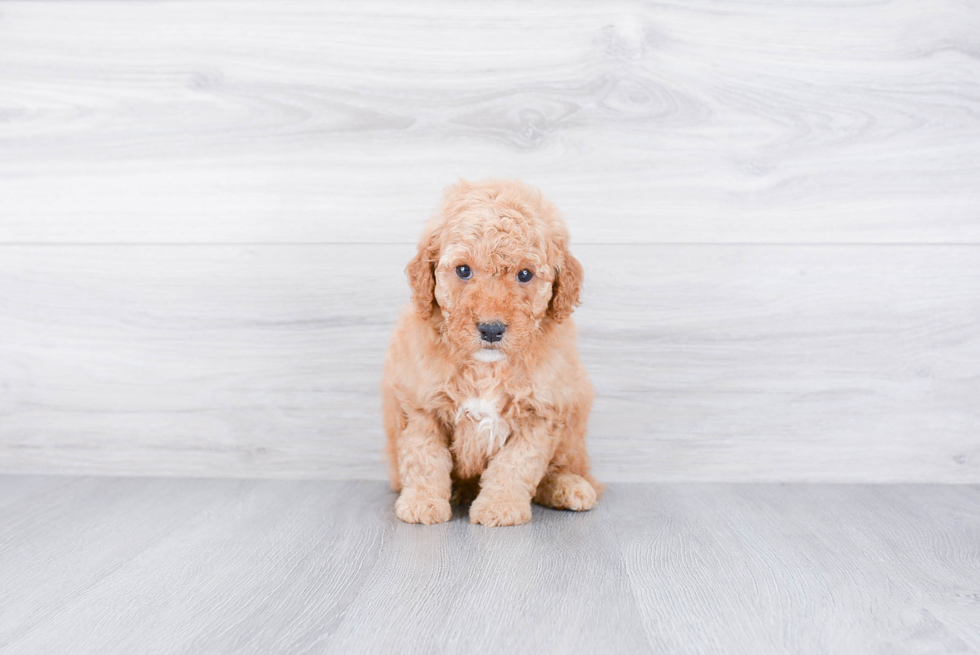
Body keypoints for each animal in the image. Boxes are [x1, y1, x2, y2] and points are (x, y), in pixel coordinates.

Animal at [380, 179, 596, 528]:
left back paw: (568, 486)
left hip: (574, 423)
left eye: (525, 274)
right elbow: (425, 457)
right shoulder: (421, 406)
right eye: (463, 270)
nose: (491, 329)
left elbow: (516, 464)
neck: (486, 368)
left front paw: (500, 506)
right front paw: (423, 502)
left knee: (563, 466)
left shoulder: (542, 412)